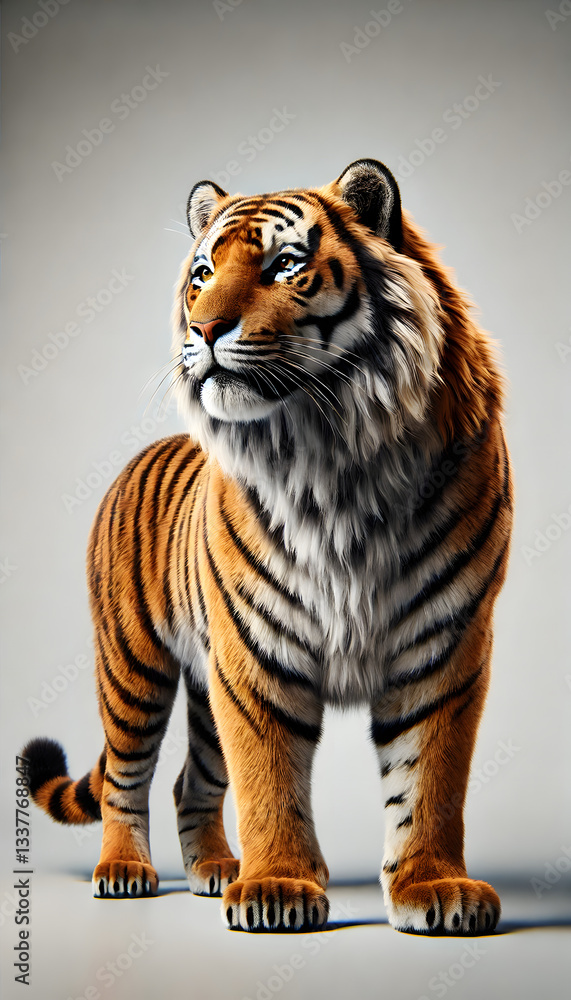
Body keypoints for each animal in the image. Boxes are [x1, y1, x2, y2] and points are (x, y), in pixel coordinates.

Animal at [22, 158, 512, 935]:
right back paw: (125, 871)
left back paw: (215, 871)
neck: (331, 455)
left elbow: (430, 779)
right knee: (127, 779)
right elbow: (269, 778)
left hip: (202, 687)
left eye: (285, 265)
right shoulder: (253, 653)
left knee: (190, 781)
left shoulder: (444, 644)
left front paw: (434, 887)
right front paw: (278, 886)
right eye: (201, 273)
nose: (202, 327)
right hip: (134, 665)